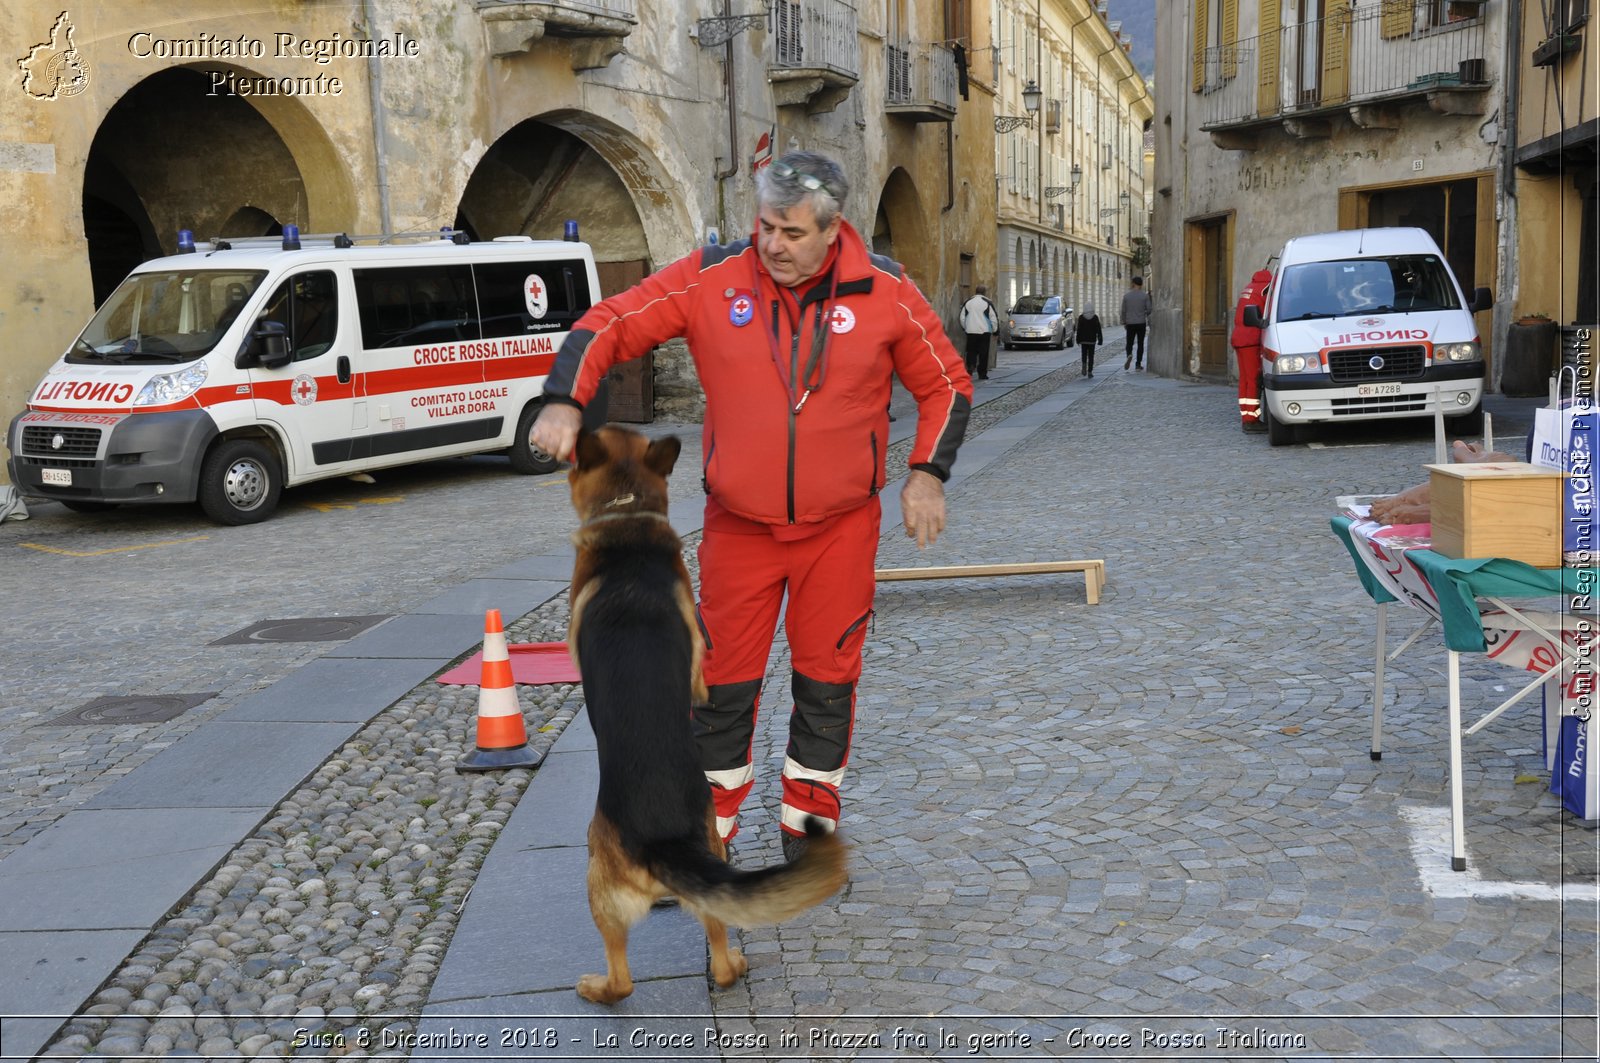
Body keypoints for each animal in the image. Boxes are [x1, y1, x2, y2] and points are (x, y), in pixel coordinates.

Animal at [569, 425, 857, 1005]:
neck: (627, 514)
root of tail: (665, 842)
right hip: (712, 869)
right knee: (720, 955)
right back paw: (735, 965)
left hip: (597, 886)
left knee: (623, 978)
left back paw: (597, 988)